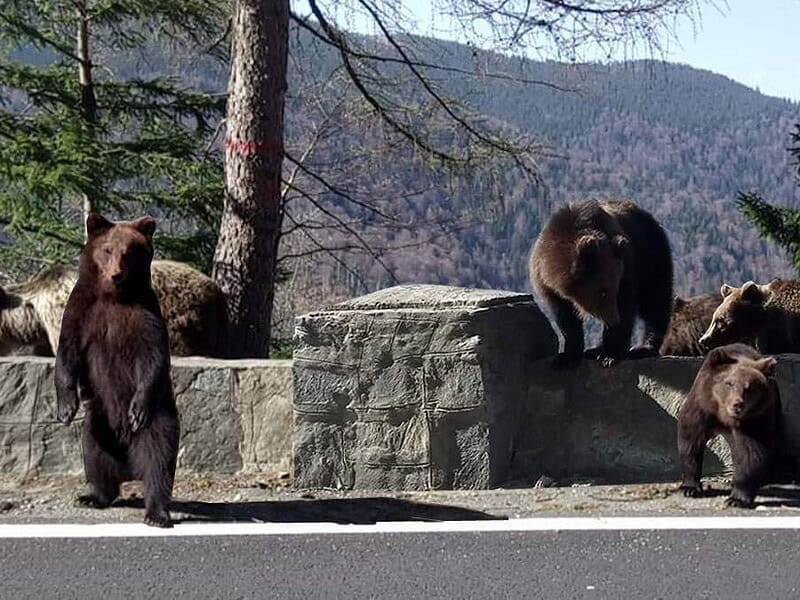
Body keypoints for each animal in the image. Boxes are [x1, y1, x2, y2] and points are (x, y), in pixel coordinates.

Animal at [56, 213, 180, 528]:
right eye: (108, 250)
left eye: (129, 252)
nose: (116, 274)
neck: (113, 297)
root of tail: (128, 462)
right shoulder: (82, 312)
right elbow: (67, 352)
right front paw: (66, 408)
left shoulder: (145, 316)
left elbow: (153, 358)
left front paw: (137, 409)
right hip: (99, 422)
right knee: (95, 456)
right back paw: (94, 496)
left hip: (159, 418)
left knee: (159, 460)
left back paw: (156, 513)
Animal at [532, 199, 676, 368]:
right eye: (603, 291)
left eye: (613, 289)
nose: (614, 319)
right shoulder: (547, 285)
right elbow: (565, 318)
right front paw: (566, 357)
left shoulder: (627, 266)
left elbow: (627, 304)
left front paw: (610, 356)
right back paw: (594, 350)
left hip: (652, 255)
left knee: (655, 299)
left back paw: (643, 347)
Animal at [676, 344, 780, 508]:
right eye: (729, 383)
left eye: (749, 387)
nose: (737, 404)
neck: (724, 416)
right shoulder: (702, 408)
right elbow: (690, 442)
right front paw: (689, 488)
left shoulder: (753, 420)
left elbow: (750, 453)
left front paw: (737, 498)